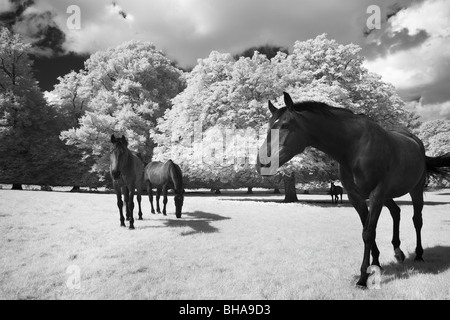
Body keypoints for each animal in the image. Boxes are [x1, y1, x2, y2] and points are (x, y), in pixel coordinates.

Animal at [255, 92, 450, 288]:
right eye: (269, 126)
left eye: (285, 125)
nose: (261, 164)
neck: (354, 147)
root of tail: (416, 142)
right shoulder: (356, 197)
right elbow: (367, 230)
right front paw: (375, 265)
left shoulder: (376, 194)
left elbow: (368, 233)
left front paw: (363, 278)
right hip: (387, 196)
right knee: (396, 212)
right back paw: (398, 252)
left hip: (414, 190)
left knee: (417, 220)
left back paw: (419, 255)